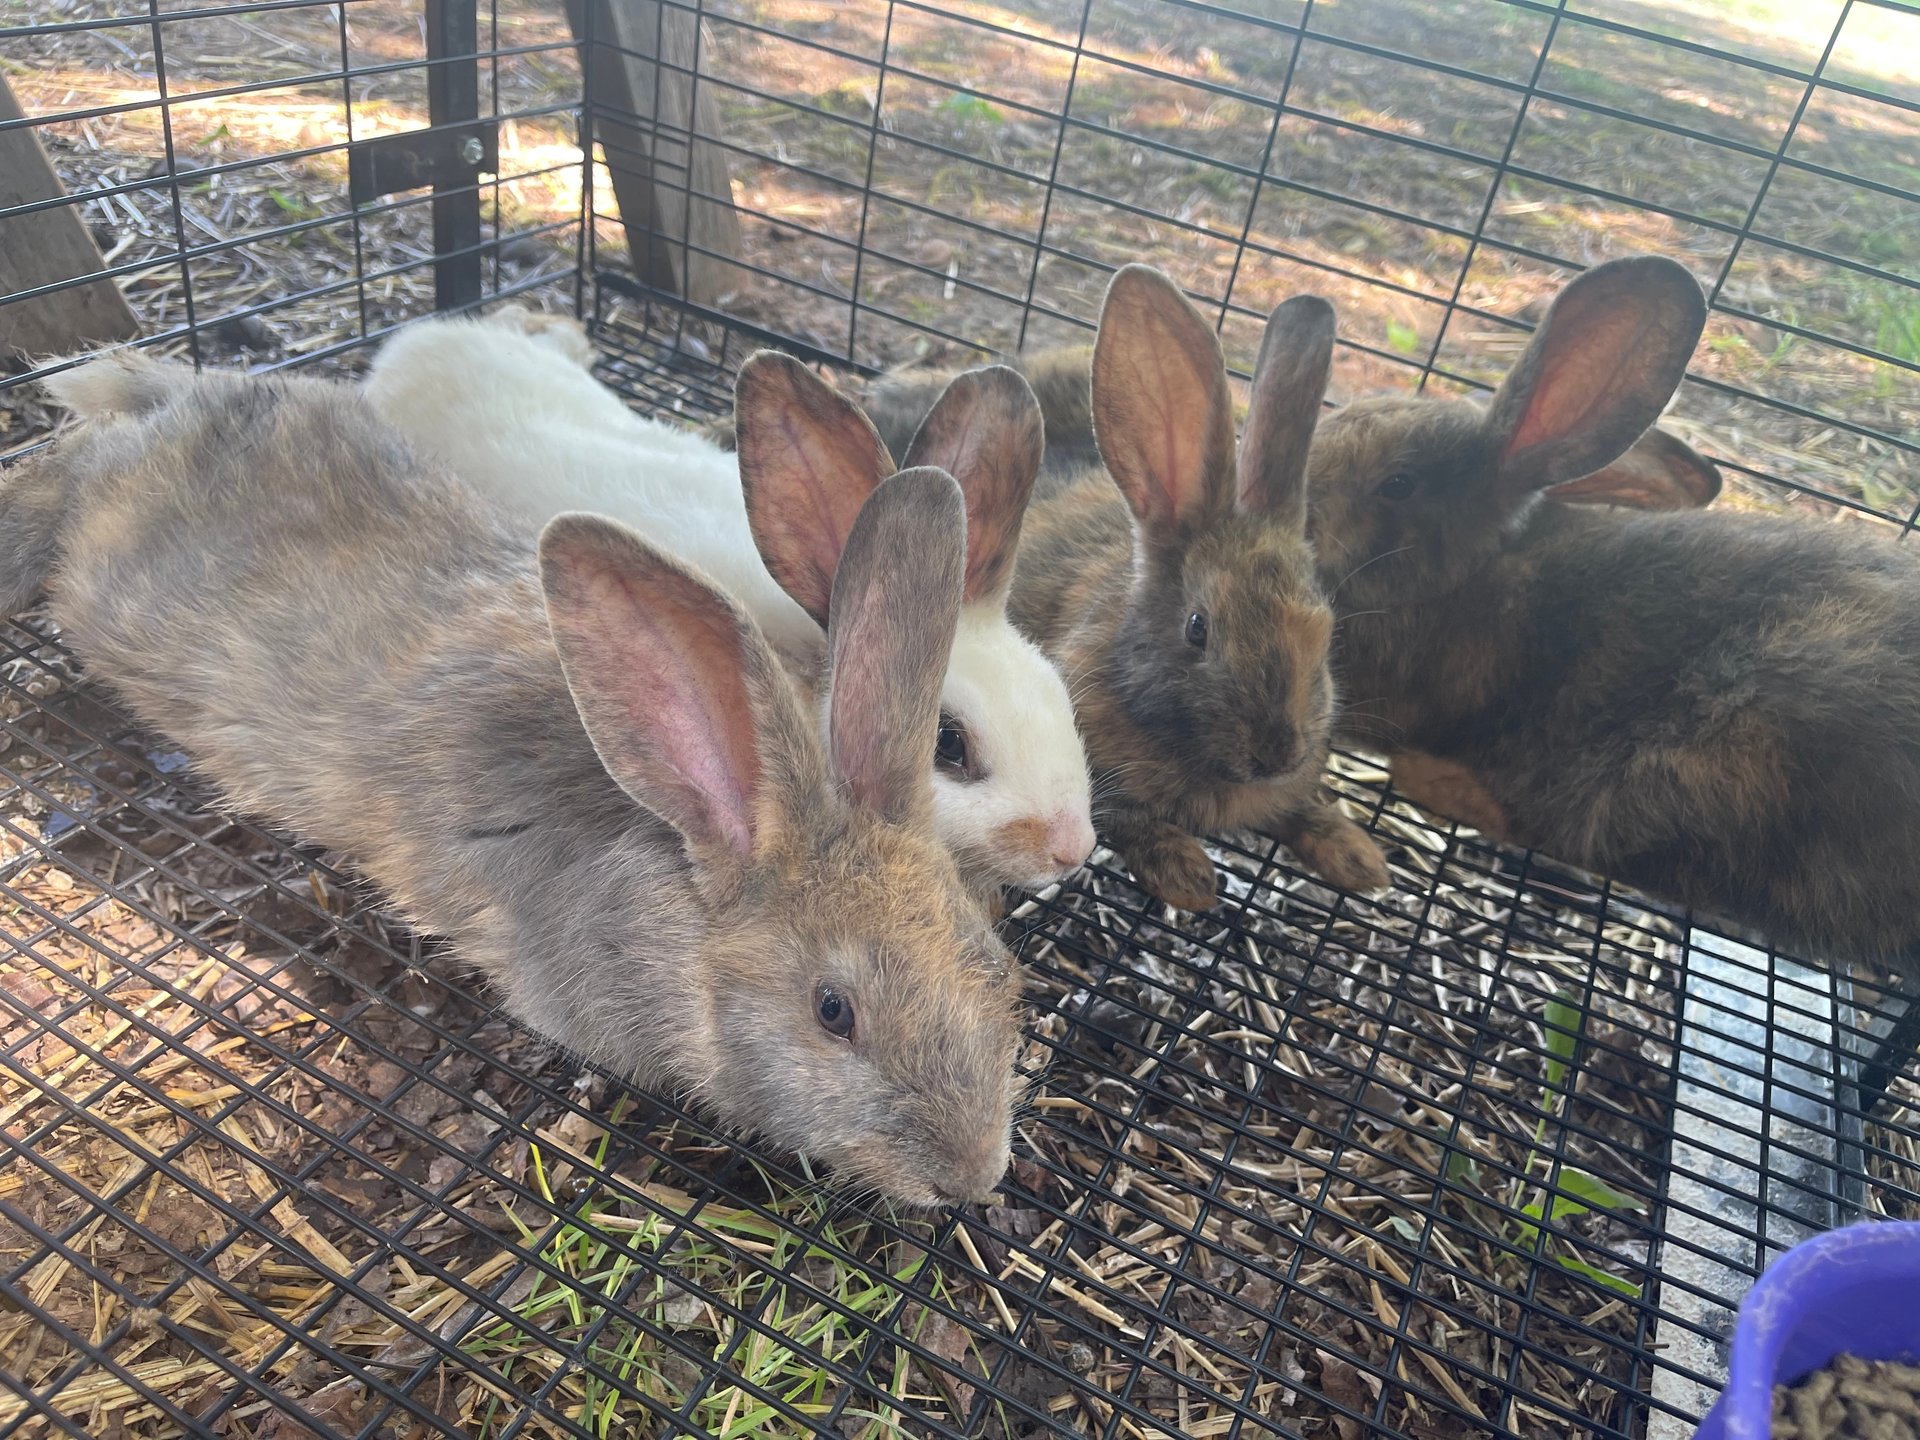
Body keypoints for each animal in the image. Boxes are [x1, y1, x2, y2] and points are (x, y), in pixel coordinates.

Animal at [987, 265, 1388, 911]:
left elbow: (1299, 809)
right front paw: (1188, 875)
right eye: (1198, 629)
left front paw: (1359, 857)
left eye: (1324, 635)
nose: (1276, 753)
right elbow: (1124, 819)